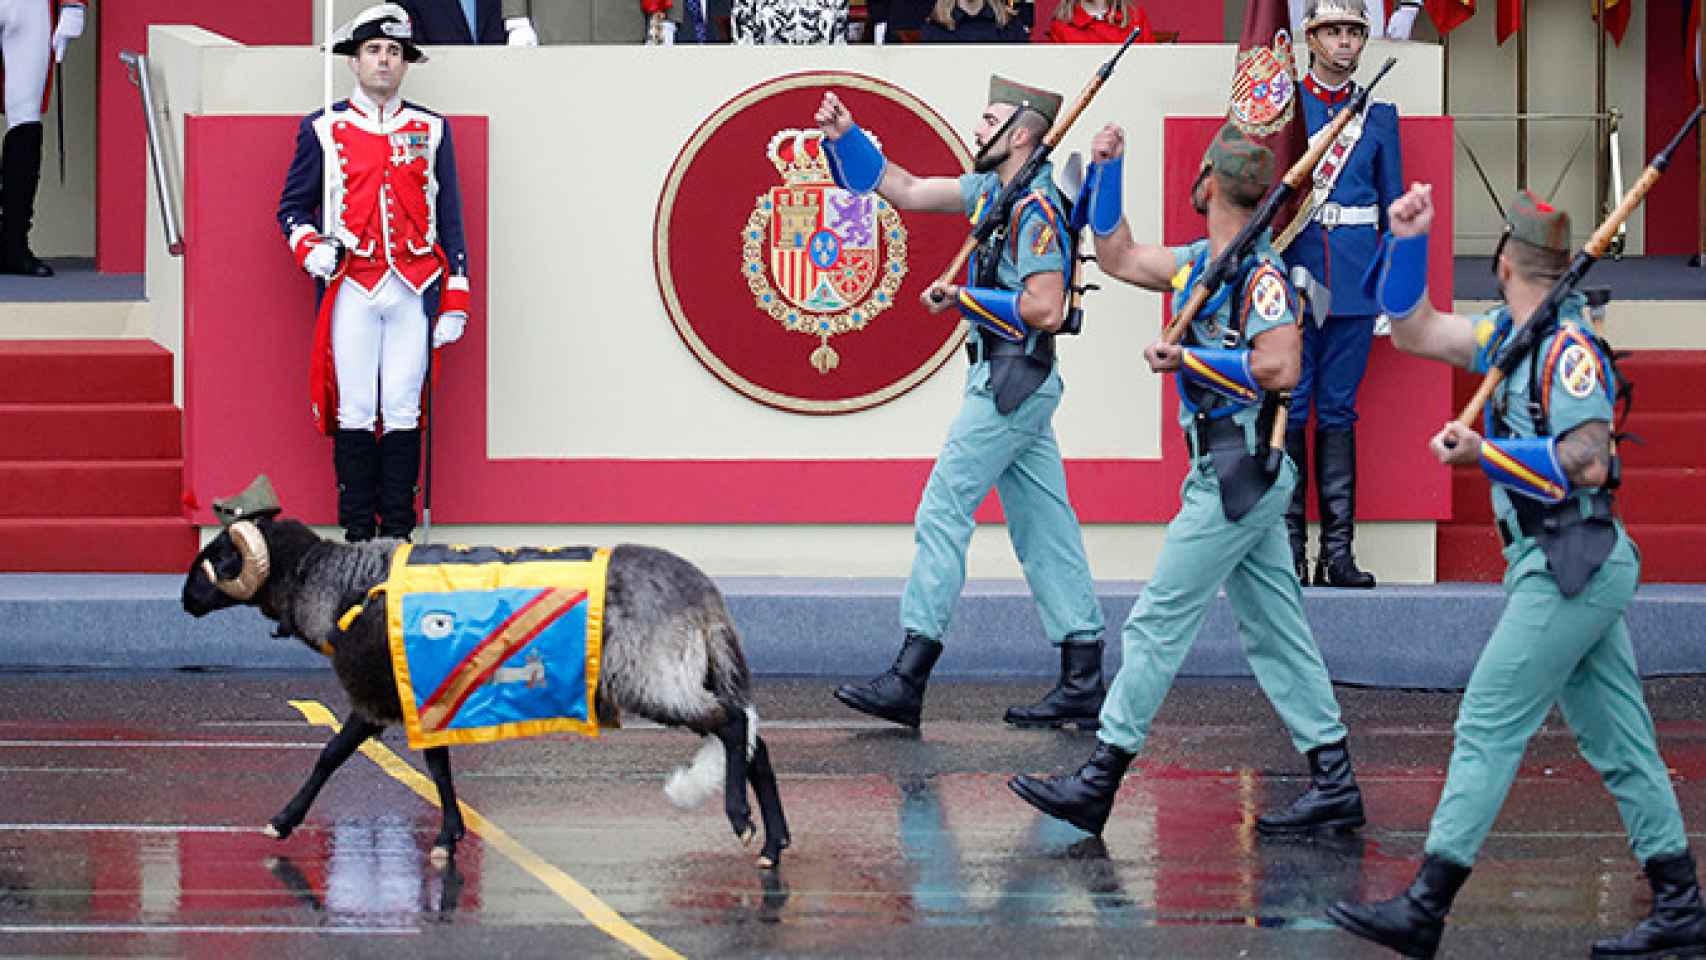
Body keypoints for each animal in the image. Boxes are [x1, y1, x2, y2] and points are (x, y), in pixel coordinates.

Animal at [183, 518, 794, 873]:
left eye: (217, 558)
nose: (185, 600)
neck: (338, 585)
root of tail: (706, 596)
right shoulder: (425, 693)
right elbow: (437, 766)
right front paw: (449, 838)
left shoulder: (381, 695)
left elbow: (333, 755)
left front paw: (282, 820)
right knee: (754, 743)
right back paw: (775, 845)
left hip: (654, 678)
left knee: (734, 726)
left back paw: (742, 822)